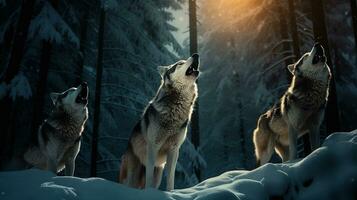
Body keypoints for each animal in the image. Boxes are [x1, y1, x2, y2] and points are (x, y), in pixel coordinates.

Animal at [118, 53, 199, 191]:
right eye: (180, 63)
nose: (196, 54)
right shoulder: (153, 147)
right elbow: (149, 176)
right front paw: (149, 193)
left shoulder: (174, 150)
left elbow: (171, 177)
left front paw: (171, 192)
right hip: (132, 176)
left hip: (158, 173)